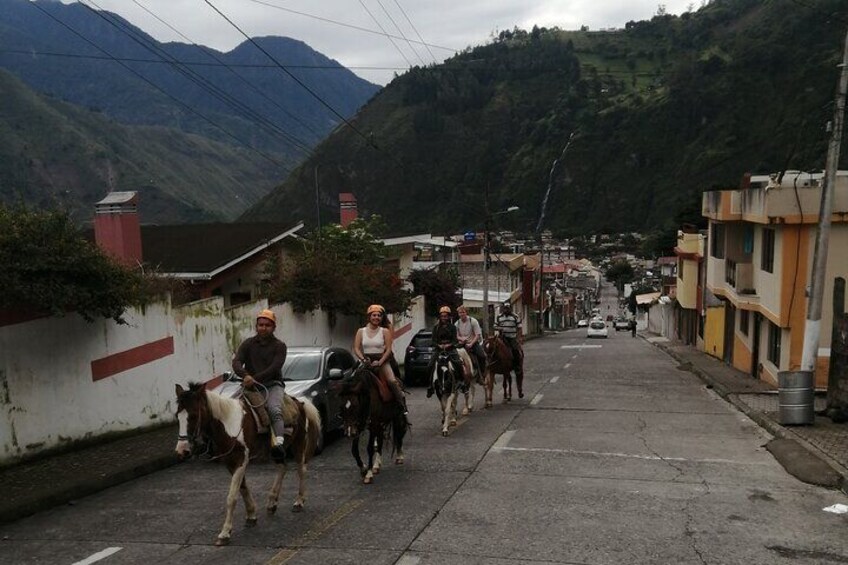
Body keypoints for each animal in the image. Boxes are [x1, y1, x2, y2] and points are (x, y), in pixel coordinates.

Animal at [174, 382, 320, 544]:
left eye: (193, 415)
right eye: (177, 416)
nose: (182, 450)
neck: (230, 424)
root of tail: (299, 402)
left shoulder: (240, 460)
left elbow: (232, 497)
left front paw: (225, 532)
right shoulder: (230, 462)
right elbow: (243, 488)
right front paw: (251, 515)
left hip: (299, 443)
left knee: (301, 469)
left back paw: (299, 502)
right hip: (275, 451)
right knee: (283, 467)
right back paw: (272, 502)